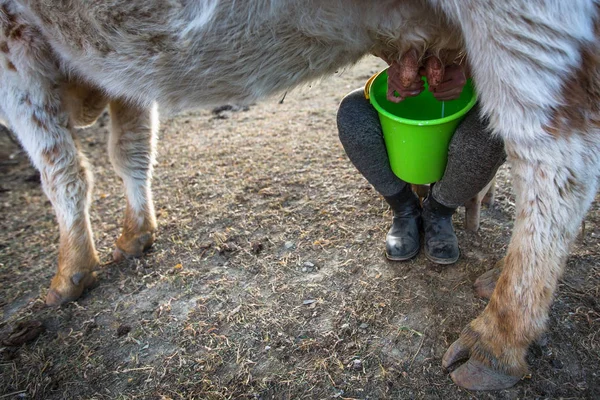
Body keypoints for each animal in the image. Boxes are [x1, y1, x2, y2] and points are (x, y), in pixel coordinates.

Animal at [1, 0, 600, 392]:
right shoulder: (120, 78)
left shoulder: (15, 42)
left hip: (526, 22)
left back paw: (495, 338)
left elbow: (62, 170)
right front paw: (134, 236)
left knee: (557, 160)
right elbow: (130, 149)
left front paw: (70, 275)